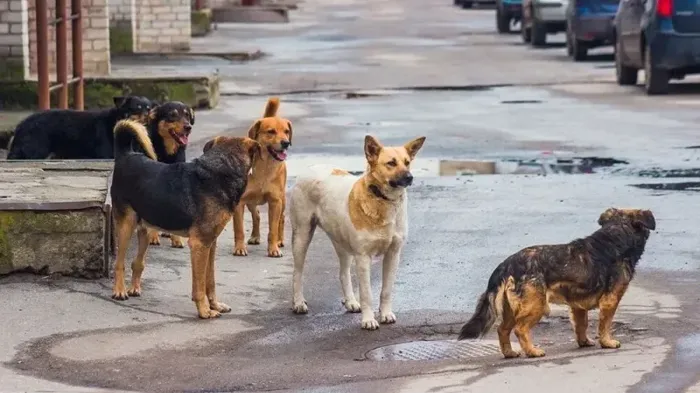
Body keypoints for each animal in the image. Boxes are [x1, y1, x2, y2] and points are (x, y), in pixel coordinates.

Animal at [7, 95, 152, 159]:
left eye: (149, 108)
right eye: (138, 107)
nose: (148, 115)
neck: (116, 121)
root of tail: (21, 125)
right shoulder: (106, 154)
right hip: (35, 150)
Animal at [232, 97, 292, 258]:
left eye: (286, 131)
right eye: (271, 131)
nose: (286, 143)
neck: (264, 168)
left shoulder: (275, 202)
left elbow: (273, 229)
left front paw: (274, 248)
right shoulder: (239, 203)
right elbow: (239, 229)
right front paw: (239, 248)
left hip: (282, 200)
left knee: (282, 219)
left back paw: (280, 240)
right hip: (251, 201)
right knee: (257, 215)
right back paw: (255, 236)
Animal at [288, 134, 424, 328]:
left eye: (407, 162)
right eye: (391, 163)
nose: (409, 177)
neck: (382, 200)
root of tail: (311, 168)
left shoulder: (393, 254)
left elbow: (386, 290)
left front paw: (385, 314)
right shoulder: (363, 257)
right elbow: (367, 294)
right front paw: (368, 320)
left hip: (342, 243)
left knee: (343, 273)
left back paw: (350, 301)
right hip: (302, 236)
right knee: (297, 273)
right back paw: (298, 302)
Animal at [460, 208, 656, 358]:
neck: (616, 235)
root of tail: (507, 264)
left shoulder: (578, 306)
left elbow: (581, 325)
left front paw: (584, 342)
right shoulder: (610, 301)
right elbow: (605, 325)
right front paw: (607, 342)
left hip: (510, 309)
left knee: (502, 330)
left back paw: (509, 353)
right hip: (536, 306)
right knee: (520, 329)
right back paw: (532, 351)